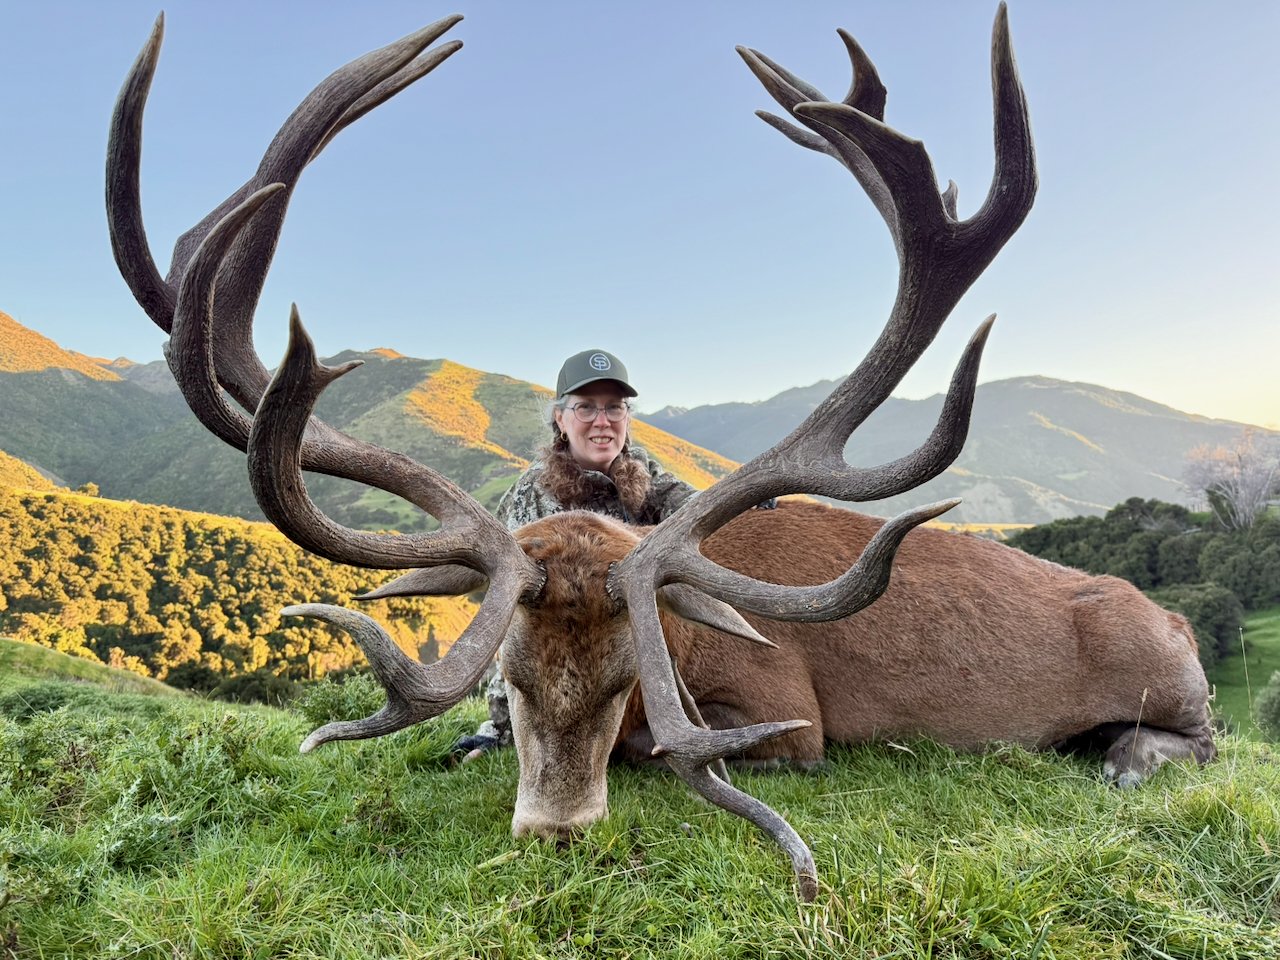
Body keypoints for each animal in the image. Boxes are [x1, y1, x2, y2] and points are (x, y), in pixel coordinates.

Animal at [107, 5, 1215, 901]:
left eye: (619, 683)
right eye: (509, 678)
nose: (554, 833)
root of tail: (1171, 614)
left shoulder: (791, 716)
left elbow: (682, 752)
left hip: (1171, 678)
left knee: (1198, 741)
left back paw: (1123, 757)